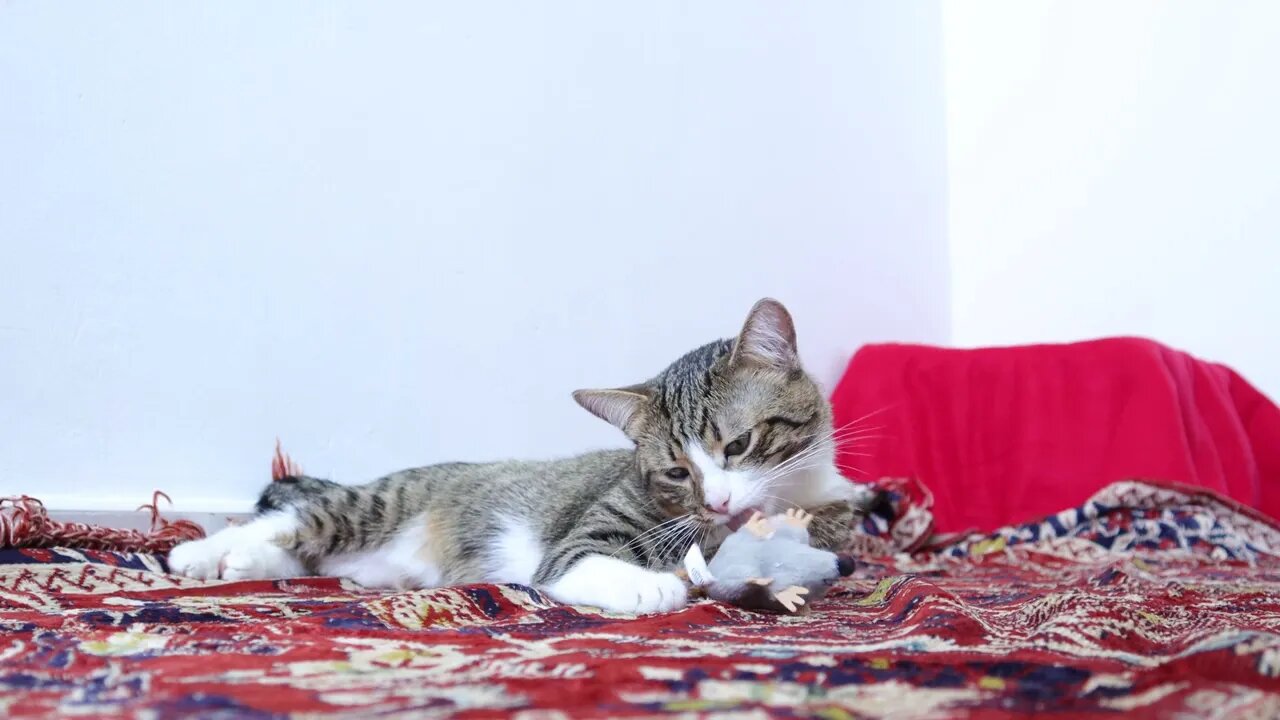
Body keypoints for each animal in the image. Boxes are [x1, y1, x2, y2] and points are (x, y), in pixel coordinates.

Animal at [167, 297, 870, 609]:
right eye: (676, 471)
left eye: (740, 444)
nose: (718, 502)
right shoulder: (581, 538)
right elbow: (581, 563)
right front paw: (658, 586)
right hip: (376, 503)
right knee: (293, 518)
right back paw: (197, 553)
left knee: (305, 552)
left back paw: (242, 563)